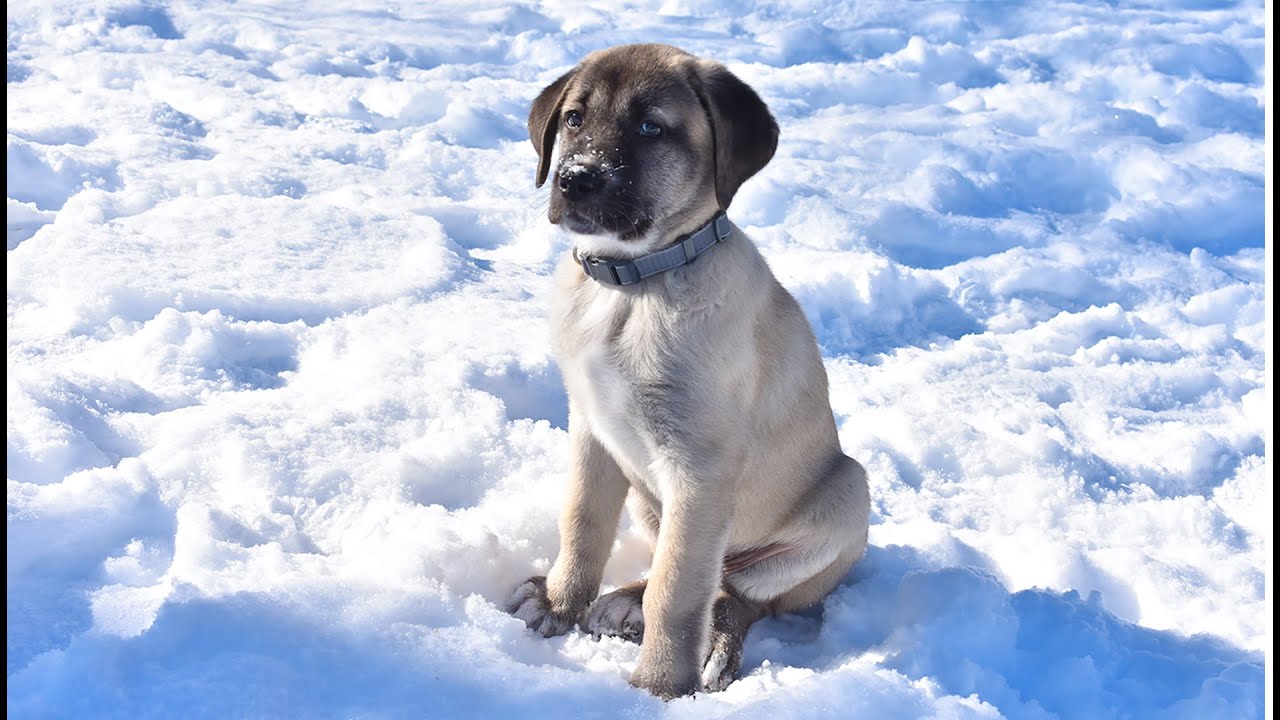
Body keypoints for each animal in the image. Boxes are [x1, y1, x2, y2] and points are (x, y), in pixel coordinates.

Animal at [504, 43, 875, 696]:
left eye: (651, 128)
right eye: (574, 119)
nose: (575, 178)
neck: (632, 285)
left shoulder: (699, 467)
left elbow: (677, 592)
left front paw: (658, 687)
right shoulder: (592, 431)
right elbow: (582, 525)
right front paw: (557, 604)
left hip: (847, 492)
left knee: (739, 594)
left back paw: (711, 644)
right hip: (649, 499)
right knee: (693, 572)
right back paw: (625, 598)